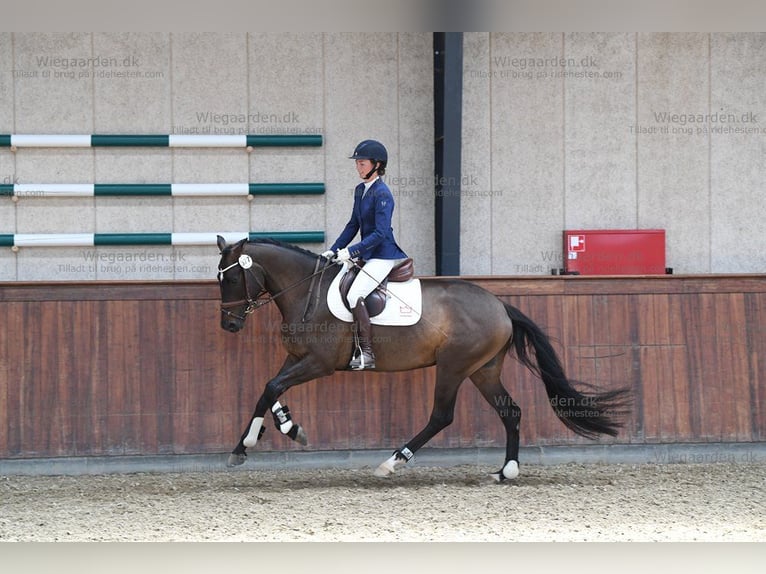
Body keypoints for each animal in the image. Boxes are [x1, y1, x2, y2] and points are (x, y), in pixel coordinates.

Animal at [214, 234, 632, 482]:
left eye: (231, 279)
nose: (229, 325)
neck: (308, 292)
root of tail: (500, 305)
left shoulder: (319, 364)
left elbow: (271, 387)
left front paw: (246, 444)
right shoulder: (297, 358)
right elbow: (270, 390)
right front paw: (282, 430)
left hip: (453, 367)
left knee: (441, 416)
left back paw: (393, 462)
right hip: (483, 370)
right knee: (510, 411)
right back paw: (505, 471)